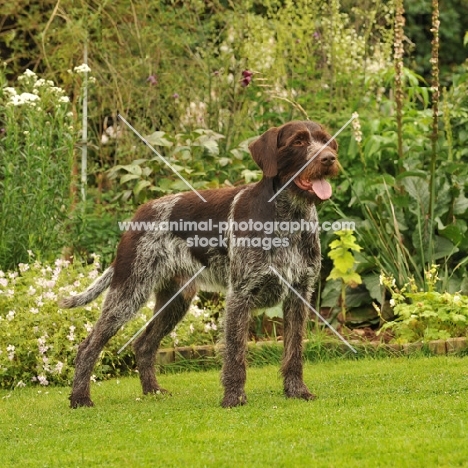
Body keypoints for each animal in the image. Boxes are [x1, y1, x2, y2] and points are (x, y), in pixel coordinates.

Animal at [61, 119, 340, 406]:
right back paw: (80, 398)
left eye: (327, 141)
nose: (329, 158)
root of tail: (138, 214)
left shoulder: (299, 294)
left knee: (144, 344)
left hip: (175, 300)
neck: (289, 216)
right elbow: (235, 353)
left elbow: (294, 351)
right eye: (299, 141)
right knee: (88, 346)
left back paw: (152, 390)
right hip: (128, 292)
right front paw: (234, 397)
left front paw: (297, 390)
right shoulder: (240, 294)